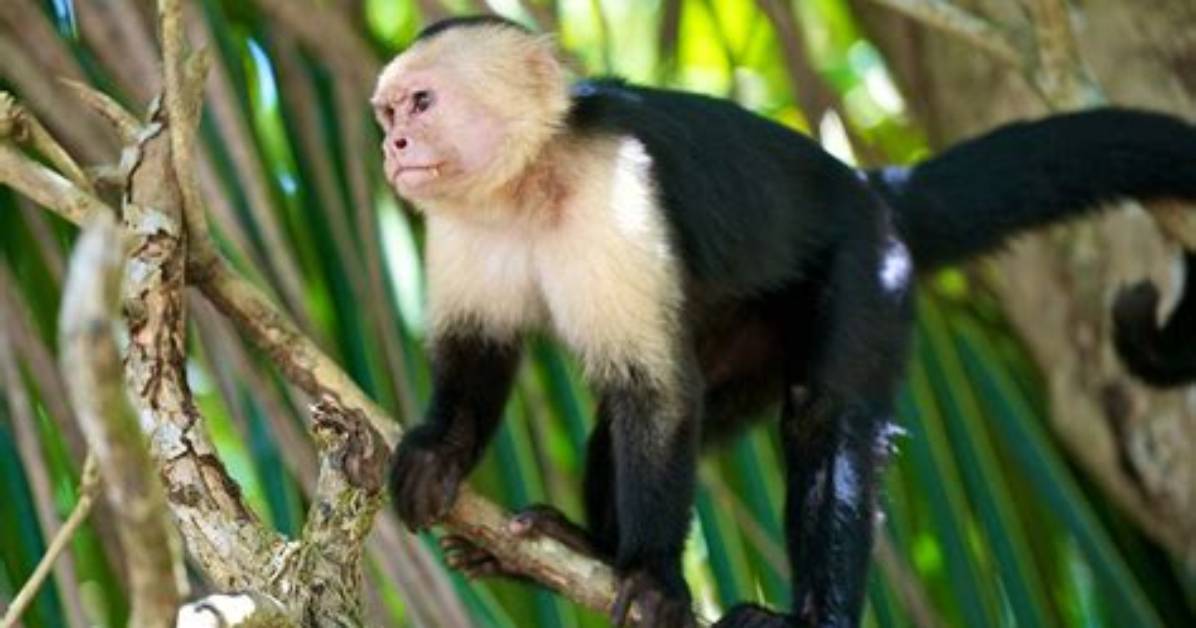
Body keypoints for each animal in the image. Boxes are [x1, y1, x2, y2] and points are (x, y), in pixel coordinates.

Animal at [373, 15, 1196, 628]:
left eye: (423, 103)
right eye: (387, 112)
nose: (391, 146)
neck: (526, 182)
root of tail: (870, 187)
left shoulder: (615, 190)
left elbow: (656, 391)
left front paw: (654, 576)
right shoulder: (461, 225)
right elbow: (479, 355)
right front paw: (440, 454)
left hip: (867, 267)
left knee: (822, 421)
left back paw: (806, 615)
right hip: (750, 341)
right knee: (632, 422)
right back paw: (584, 549)